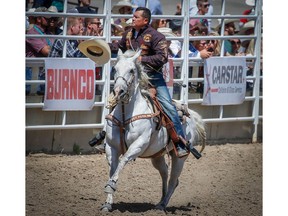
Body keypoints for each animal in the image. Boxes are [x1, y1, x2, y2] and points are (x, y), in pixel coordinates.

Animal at [101, 48, 207, 211]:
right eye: (115, 69)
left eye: (131, 70)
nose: (119, 91)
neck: (126, 114)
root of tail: (190, 115)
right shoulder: (111, 148)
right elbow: (113, 169)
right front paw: (108, 202)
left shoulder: (138, 144)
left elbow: (123, 160)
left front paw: (111, 185)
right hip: (157, 156)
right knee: (165, 173)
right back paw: (160, 201)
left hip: (179, 158)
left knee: (173, 180)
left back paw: (162, 204)